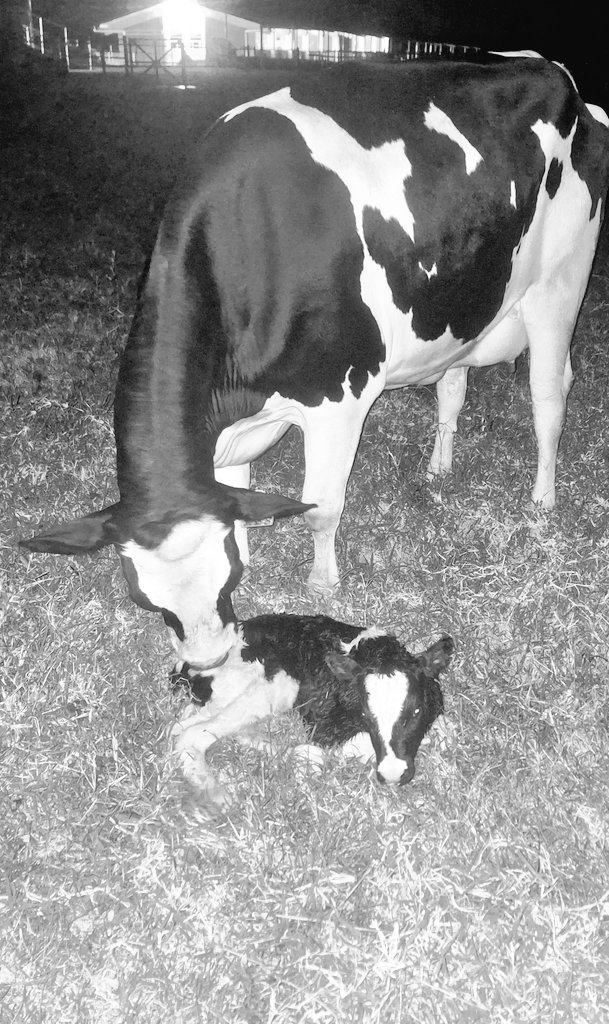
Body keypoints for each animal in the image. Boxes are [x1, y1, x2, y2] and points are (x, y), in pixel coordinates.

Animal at [21, 56, 609, 681]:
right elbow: (237, 496)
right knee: (454, 387)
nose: (208, 661)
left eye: (223, 579)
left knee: (550, 399)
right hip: (460, 306)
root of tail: (557, 75)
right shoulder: (228, 429)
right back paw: (439, 468)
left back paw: (542, 503)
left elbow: (322, 507)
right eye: (143, 596)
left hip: (558, 289)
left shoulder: (340, 397)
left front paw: (322, 584)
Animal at [171, 613, 453, 807]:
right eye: (365, 715)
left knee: (182, 726)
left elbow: (445, 733)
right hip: (272, 685)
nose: (392, 773)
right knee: (191, 735)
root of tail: (184, 666)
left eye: (416, 711)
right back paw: (219, 795)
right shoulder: (324, 724)